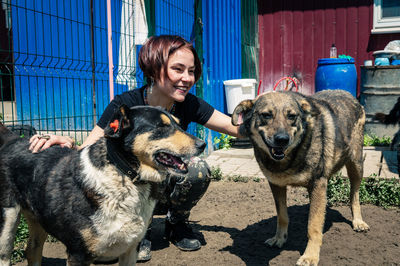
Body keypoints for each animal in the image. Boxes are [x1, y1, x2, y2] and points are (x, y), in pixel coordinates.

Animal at [0, 106, 206, 266]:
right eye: (162, 126)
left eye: (179, 125)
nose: (202, 144)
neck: (124, 175)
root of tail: (13, 139)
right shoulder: (78, 254)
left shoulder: (130, 249)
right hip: (7, 222)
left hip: (39, 219)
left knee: (32, 250)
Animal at [233, 90, 370, 266]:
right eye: (266, 115)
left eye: (292, 116)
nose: (282, 140)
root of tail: (349, 94)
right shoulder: (276, 185)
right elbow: (282, 216)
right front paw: (279, 239)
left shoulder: (318, 184)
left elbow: (313, 226)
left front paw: (310, 256)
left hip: (356, 165)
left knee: (354, 194)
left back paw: (358, 221)